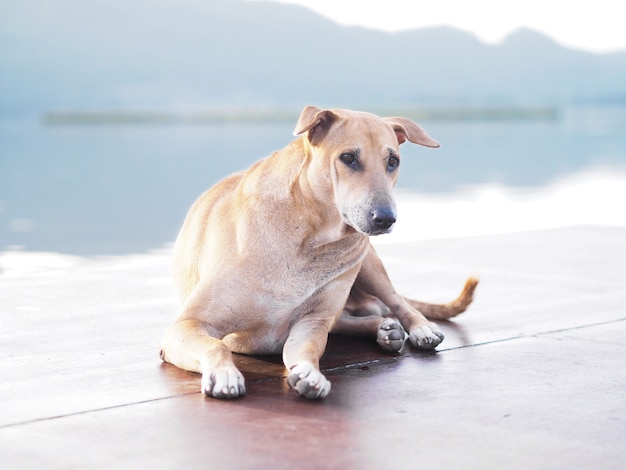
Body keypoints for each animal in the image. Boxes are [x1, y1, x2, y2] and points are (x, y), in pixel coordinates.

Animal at [158, 104, 476, 398]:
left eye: (392, 161)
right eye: (348, 158)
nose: (385, 218)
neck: (310, 236)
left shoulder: (311, 325)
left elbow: (308, 348)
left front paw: (309, 373)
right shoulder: (187, 325)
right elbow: (215, 346)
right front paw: (224, 373)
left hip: (367, 264)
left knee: (393, 301)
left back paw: (417, 327)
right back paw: (383, 329)